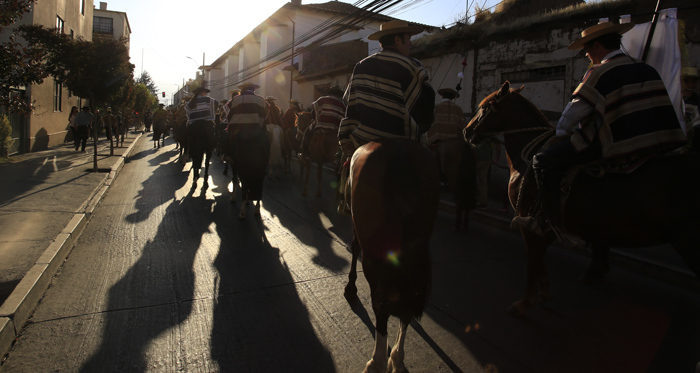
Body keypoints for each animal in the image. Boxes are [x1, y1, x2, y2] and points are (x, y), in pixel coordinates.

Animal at [344, 138, 440, 370]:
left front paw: (351, 287)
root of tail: (399, 150)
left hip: (374, 248)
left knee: (381, 303)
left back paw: (377, 361)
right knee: (406, 303)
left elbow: (354, 247)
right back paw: (396, 358)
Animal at [464, 80, 700, 314]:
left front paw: (526, 302)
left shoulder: (528, 219)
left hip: (688, 242)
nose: (467, 131)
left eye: (485, 107)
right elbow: (541, 255)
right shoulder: (550, 222)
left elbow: (533, 258)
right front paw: (546, 290)